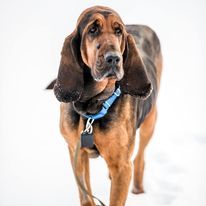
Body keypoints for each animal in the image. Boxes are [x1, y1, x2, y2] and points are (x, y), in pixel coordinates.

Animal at [48, 5, 163, 205]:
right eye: (92, 30)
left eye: (118, 31)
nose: (114, 58)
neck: (91, 106)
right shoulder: (76, 153)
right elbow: (86, 196)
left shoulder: (122, 166)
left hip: (150, 121)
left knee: (140, 158)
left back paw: (138, 188)